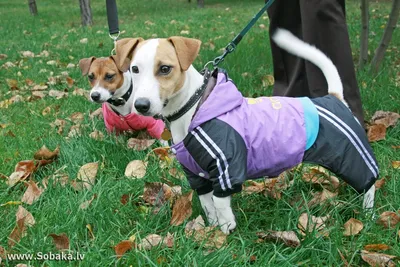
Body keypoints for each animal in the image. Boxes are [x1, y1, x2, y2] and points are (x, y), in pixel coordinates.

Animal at [113, 28, 378, 234]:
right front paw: (211, 227)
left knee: (369, 182)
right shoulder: (197, 174)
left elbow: (220, 202)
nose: (141, 105)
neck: (194, 107)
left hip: (351, 153)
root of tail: (334, 97)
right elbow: (207, 203)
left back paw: (368, 213)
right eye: (134, 69)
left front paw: (225, 229)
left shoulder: (228, 167)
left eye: (165, 69)